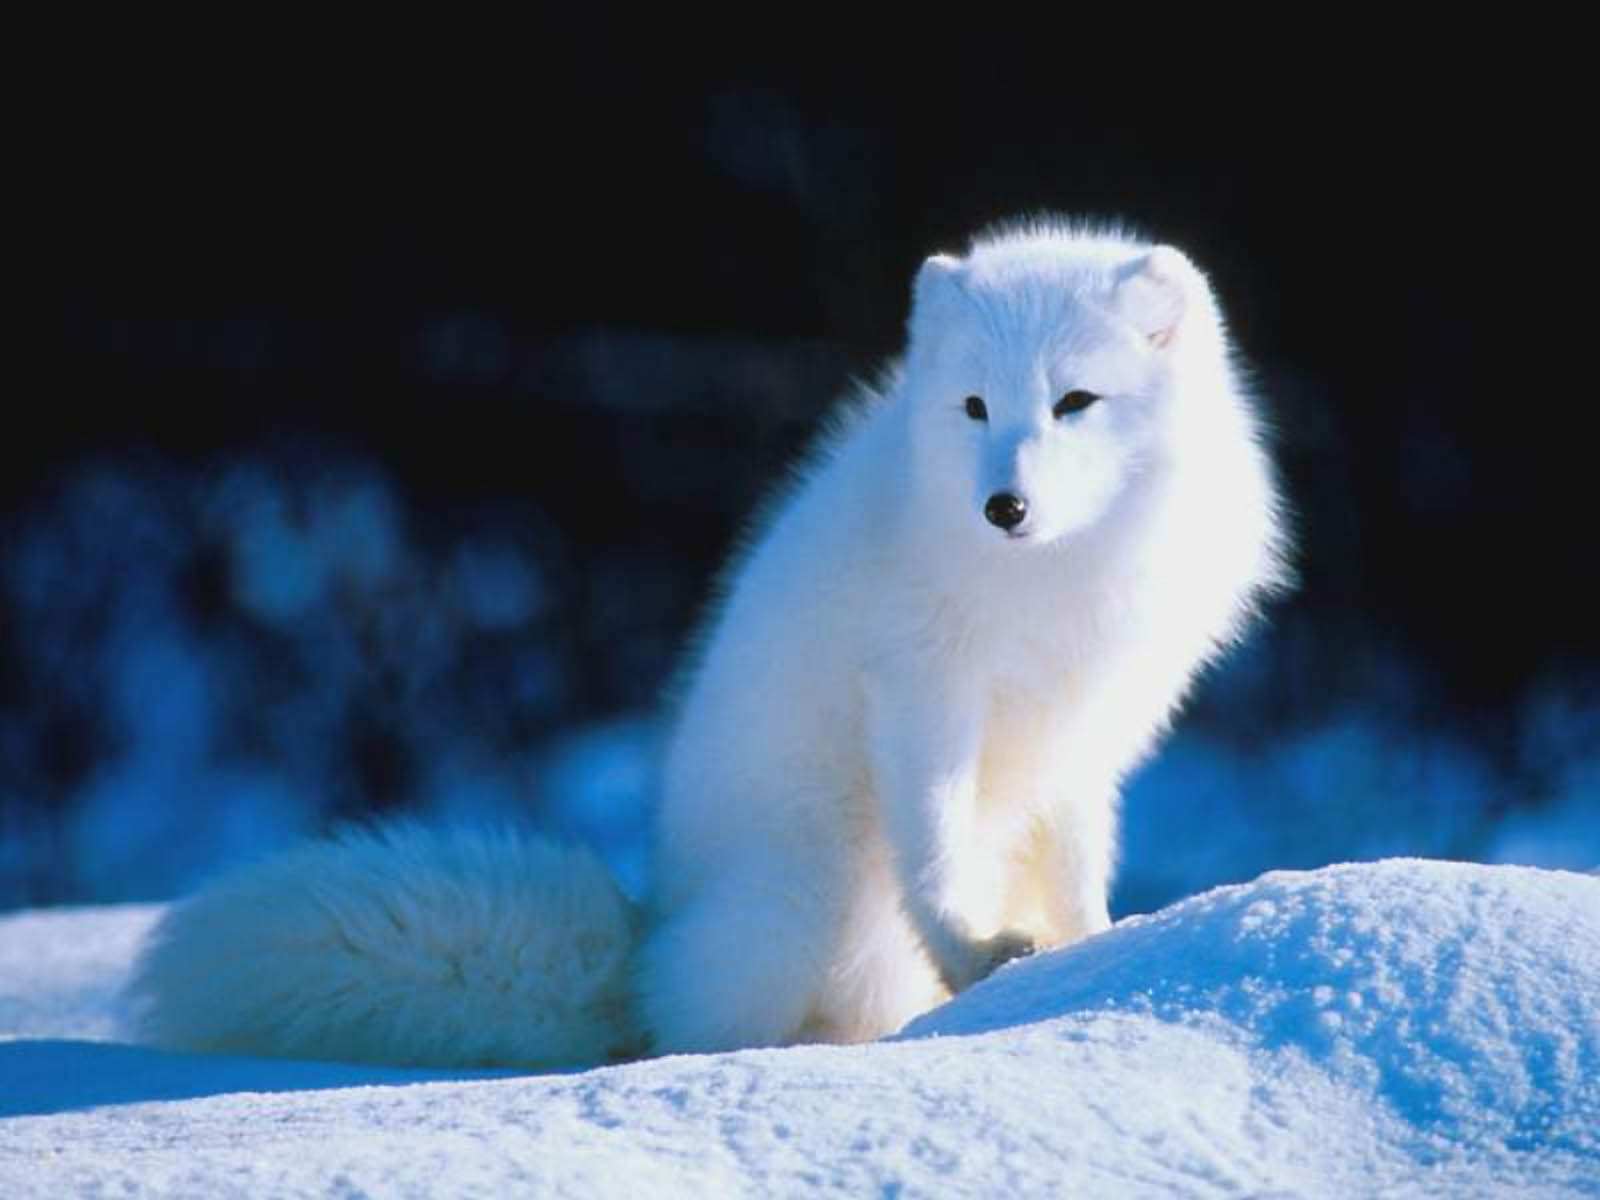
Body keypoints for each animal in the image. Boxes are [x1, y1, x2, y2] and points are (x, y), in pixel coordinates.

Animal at [129, 218, 1288, 1068]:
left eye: (1074, 401)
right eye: (973, 407)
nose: (1003, 505)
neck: (1053, 581)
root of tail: (645, 938)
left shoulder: (1083, 734)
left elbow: (1079, 867)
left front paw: (1097, 955)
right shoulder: (920, 693)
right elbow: (936, 848)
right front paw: (979, 959)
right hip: (808, 887)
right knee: (691, 1030)